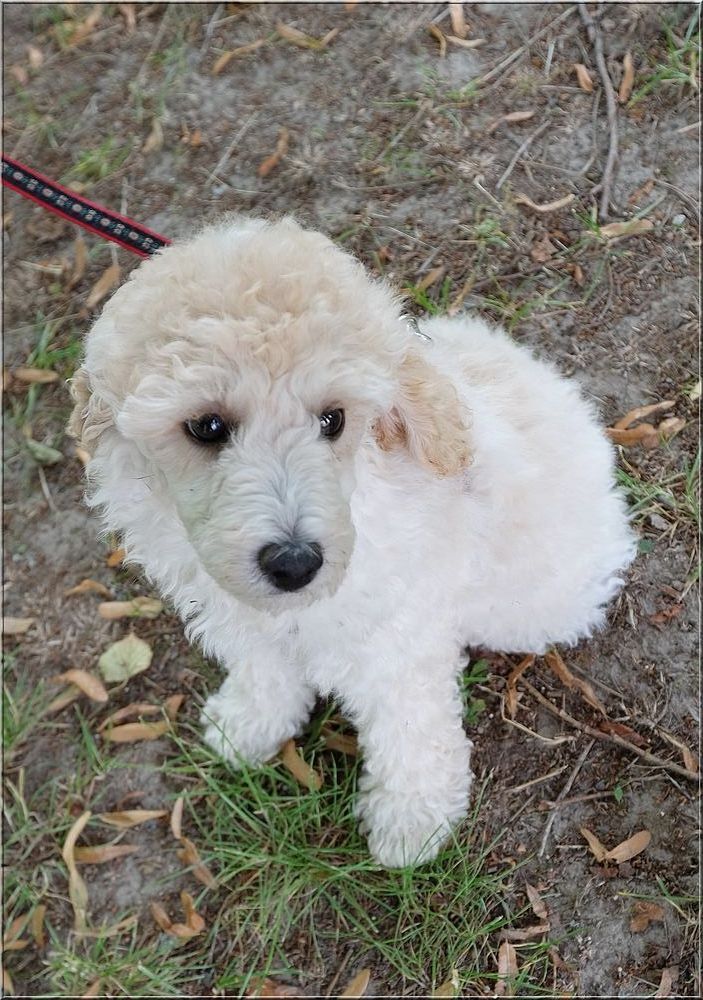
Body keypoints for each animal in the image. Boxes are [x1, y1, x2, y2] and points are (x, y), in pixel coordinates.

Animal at [69, 216, 636, 867]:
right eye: (207, 426)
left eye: (332, 420)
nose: (295, 564)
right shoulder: (248, 618)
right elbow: (264, 669)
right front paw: (247, 724)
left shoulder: (396, 642)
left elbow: (410, 726)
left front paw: (412, 822)